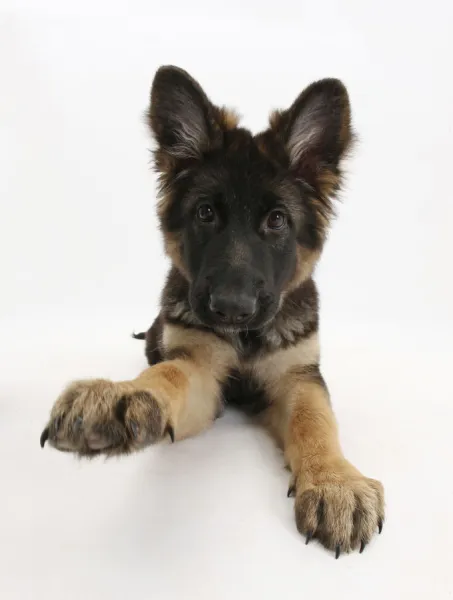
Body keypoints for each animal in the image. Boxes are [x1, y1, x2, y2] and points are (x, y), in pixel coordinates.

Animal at [40, 65, 384, 556]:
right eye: (205, 213)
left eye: (276, 221)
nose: (231, 310)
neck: (246, 339)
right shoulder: (200, 370)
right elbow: (170, 374)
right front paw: (125, 394)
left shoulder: (299, 374)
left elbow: (315, 418)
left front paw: (335, 481)